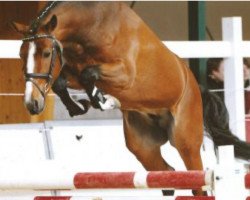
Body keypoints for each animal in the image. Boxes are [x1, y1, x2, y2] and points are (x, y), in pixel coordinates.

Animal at [11, 1, 250, 195]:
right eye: (21, 55)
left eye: (46, 54)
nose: (32, 104)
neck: (92, 25)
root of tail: (194, 85)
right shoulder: (72, 71)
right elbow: (62, 82)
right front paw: (82, 105)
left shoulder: (125, 74)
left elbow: (89, 74)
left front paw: (101, 99)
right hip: (143, 146)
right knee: (166, 175)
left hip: (186, 141)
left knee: (196, 183)